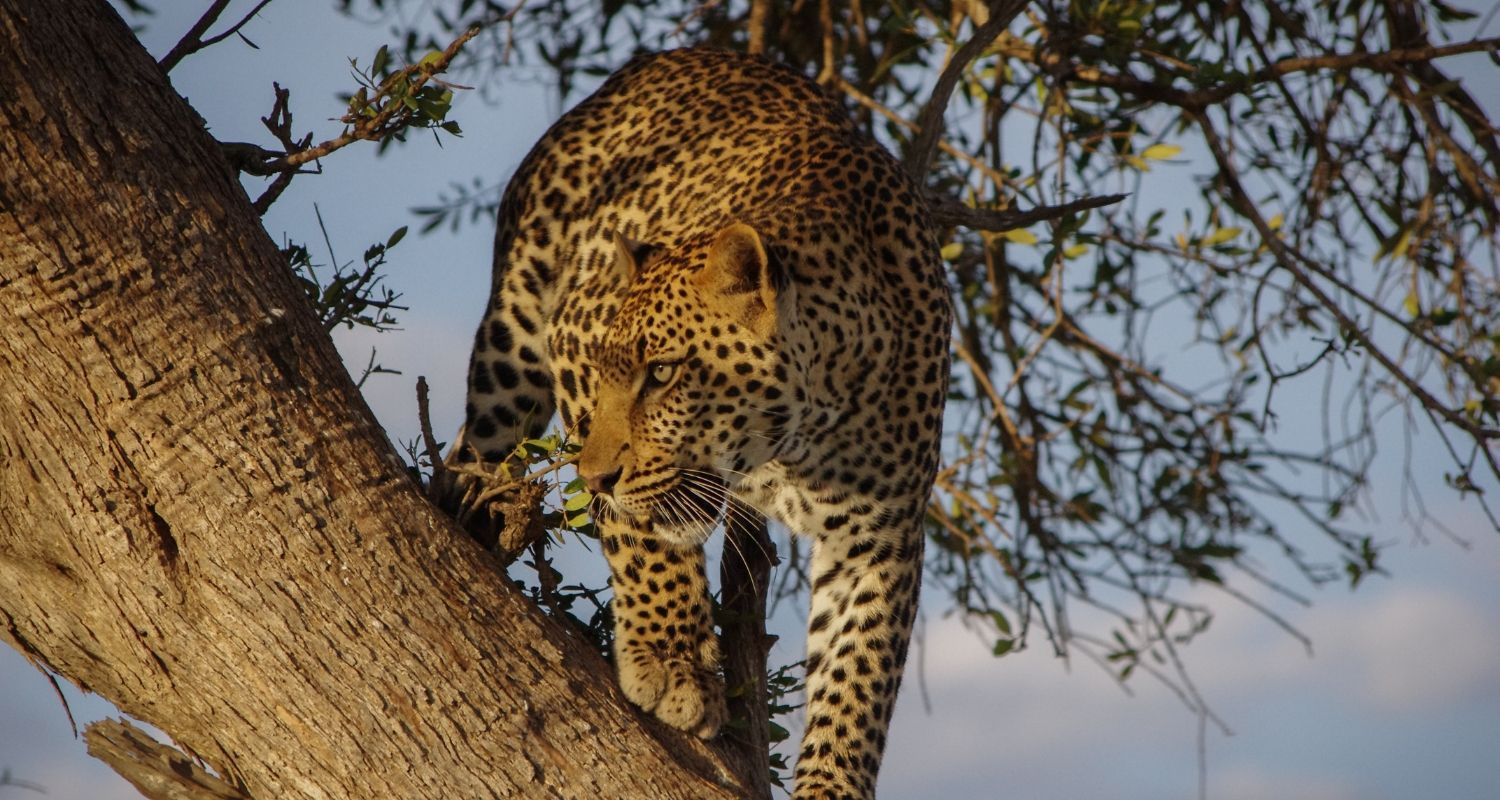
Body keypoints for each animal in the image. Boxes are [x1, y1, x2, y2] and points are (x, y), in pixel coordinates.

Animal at [456, 47, 951, 799]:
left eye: (662, 374)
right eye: (608, 371)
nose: (593, 479)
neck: (799, 438)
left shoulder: (881, 536)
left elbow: (857, 680)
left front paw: (833, 782)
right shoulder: (572, 334)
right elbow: (641, 537)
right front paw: (672, 663)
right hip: (512, 345)